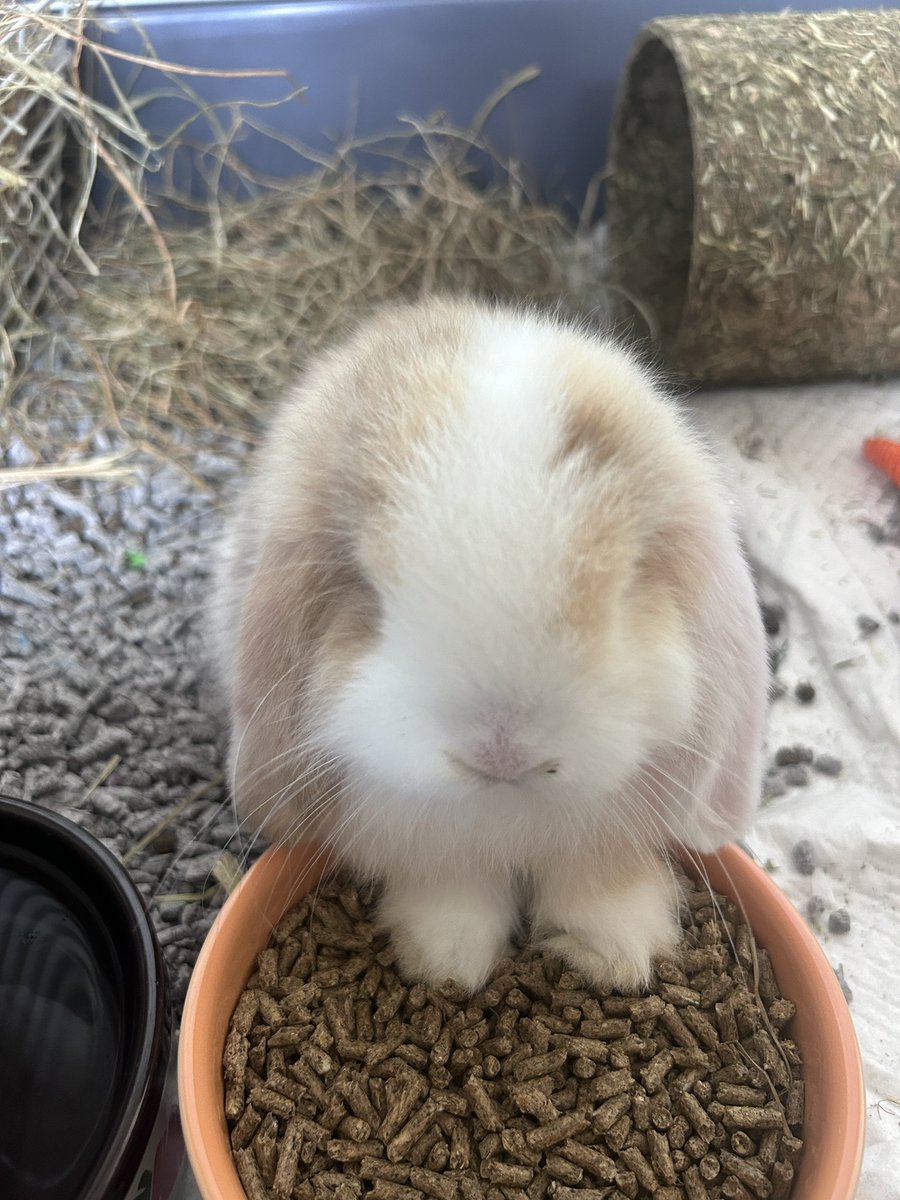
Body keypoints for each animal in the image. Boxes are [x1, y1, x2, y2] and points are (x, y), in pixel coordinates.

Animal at [209, 296, 768, 995]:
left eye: (627, 582)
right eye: (369, 590)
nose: (504, 751)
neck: (505, 809)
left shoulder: (608, 833)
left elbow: (598, 886)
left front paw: (616, 958)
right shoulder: (424, 840)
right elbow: (454, 892)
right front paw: (445, 965)